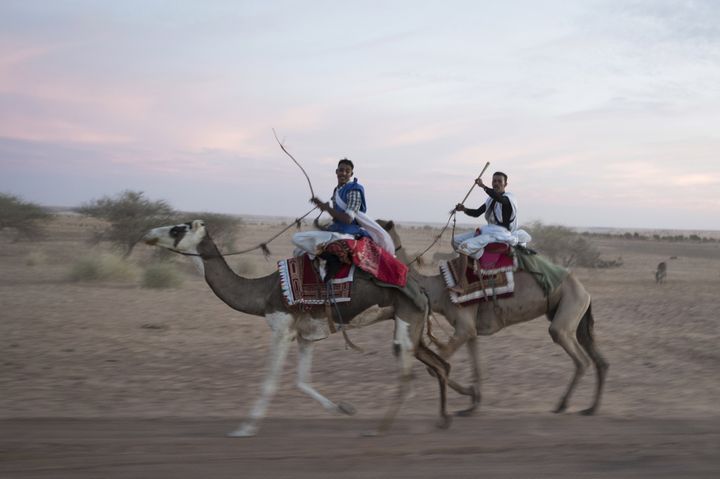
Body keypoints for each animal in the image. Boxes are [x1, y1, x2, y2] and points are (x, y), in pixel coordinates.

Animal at [143, 219, 452, 436]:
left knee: (409, 377)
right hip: (411, 326)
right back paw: (442, 419)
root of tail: (422, 291)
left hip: (406, 322)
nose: (148, 234)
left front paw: (244, 429)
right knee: (438, 366)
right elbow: (301, 381)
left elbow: (270, 382)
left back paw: (379, 431)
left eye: (177, 229)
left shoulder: (282, 330)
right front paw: (343, 408)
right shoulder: (306, 336)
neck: (264, 292)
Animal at [380, 221, 612, 416]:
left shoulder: (463, 327)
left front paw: (469, 396)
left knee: (580, 358)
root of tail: (585, 291)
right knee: (599, 360)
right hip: (574, 315)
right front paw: (472, 403)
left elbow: (433, 367)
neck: (437, 290)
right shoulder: (470, 330)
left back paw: (563, 405)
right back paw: (591, 408)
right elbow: (477, 367)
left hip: (567, 311)